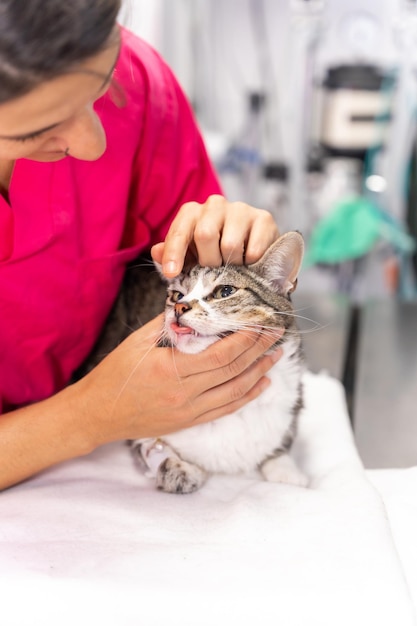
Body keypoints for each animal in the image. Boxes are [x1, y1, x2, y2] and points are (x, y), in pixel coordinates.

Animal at [76, 229, 308, 492]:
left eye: (225, 291)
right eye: (176, 295)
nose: (179, 306)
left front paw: (287, 470)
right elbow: (150, 442)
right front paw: (178, 468)